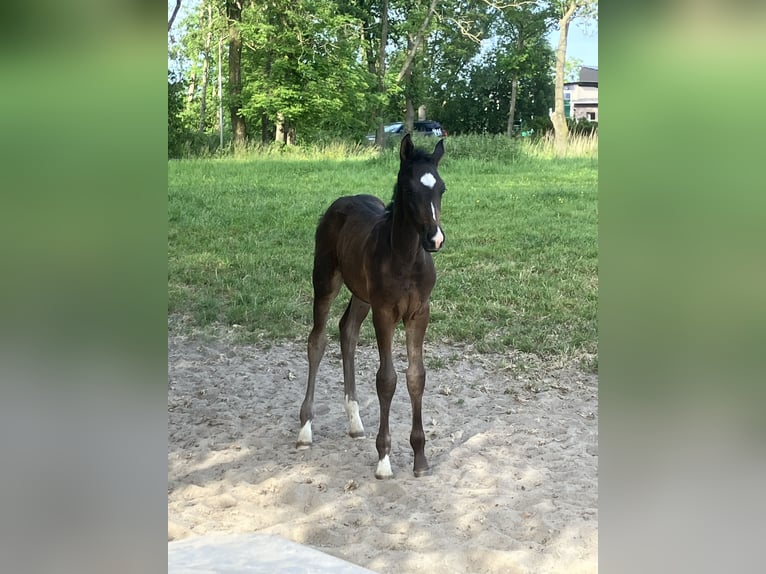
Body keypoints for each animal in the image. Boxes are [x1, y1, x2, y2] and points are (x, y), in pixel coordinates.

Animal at [296, 133, 447, 479]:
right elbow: (386, 379)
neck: (406, 258)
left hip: (362, 296)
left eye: (441, 188)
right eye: (409, 190)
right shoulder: (385, 313)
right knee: (317, 340)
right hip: (326, 280)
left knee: (347, 331)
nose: (434, 239)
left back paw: (354, 422)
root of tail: (342, 201)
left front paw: (420, 458)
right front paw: (384, 459)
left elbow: (416, 376)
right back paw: (305, 428)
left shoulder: (419, 313)